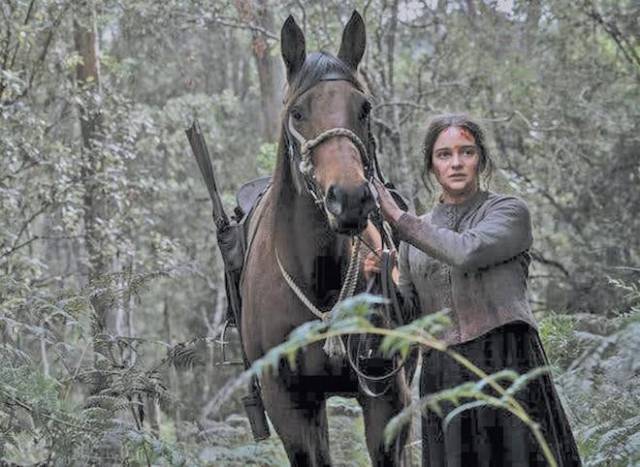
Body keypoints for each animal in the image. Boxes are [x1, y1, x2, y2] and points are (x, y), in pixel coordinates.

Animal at [239, 11, 410, 467]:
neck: (317, 278)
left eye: (364, 109)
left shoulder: (387, 396)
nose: (349, 198)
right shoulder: (289, 405)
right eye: (298, 113)